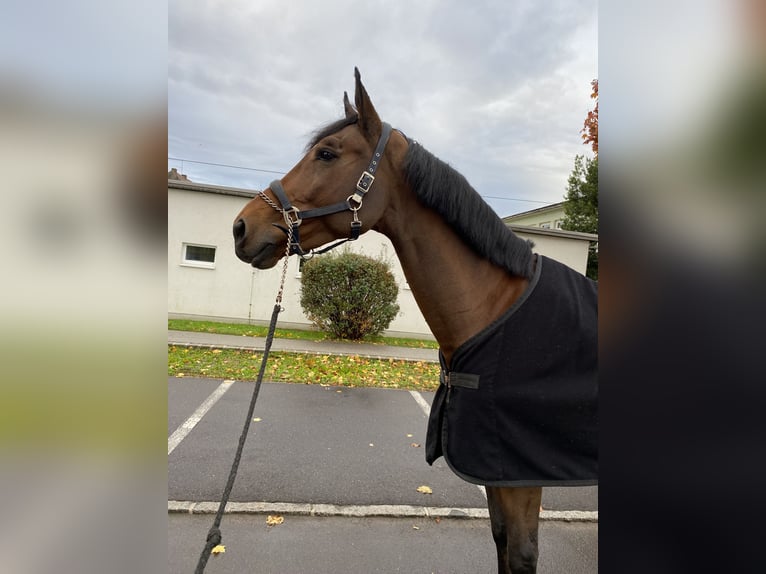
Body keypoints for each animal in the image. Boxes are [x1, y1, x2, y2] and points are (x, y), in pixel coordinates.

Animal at [233, 68, 598, 574]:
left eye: (327, 153)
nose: (241, 228)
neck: (495, 308)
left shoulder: (521, 473)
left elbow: (521, 554)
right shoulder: (495, 472)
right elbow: (502, 542)